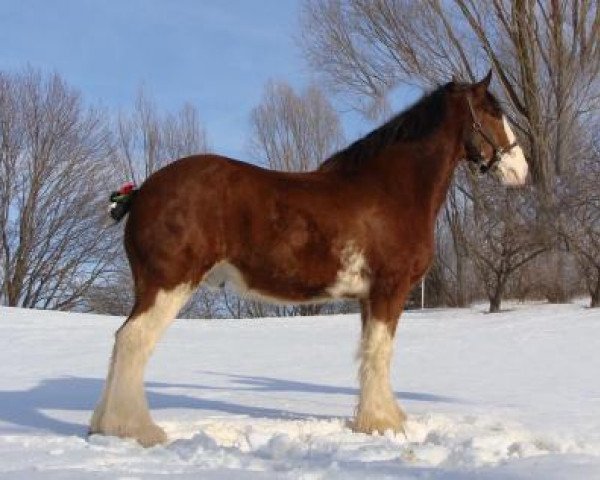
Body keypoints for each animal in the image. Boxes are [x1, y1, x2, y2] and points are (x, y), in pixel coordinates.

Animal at [88, 71, 524, 446]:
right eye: (493, 112)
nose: (521, 171)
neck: (390, 189)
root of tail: (142, 192)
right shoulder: (389, 290)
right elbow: (380, 352)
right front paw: (383, 423)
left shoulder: (368, 298)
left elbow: (369, 353)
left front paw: (376, 419)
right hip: (168, 284)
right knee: (133, 341)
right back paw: (135, 429)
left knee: (122, 341)